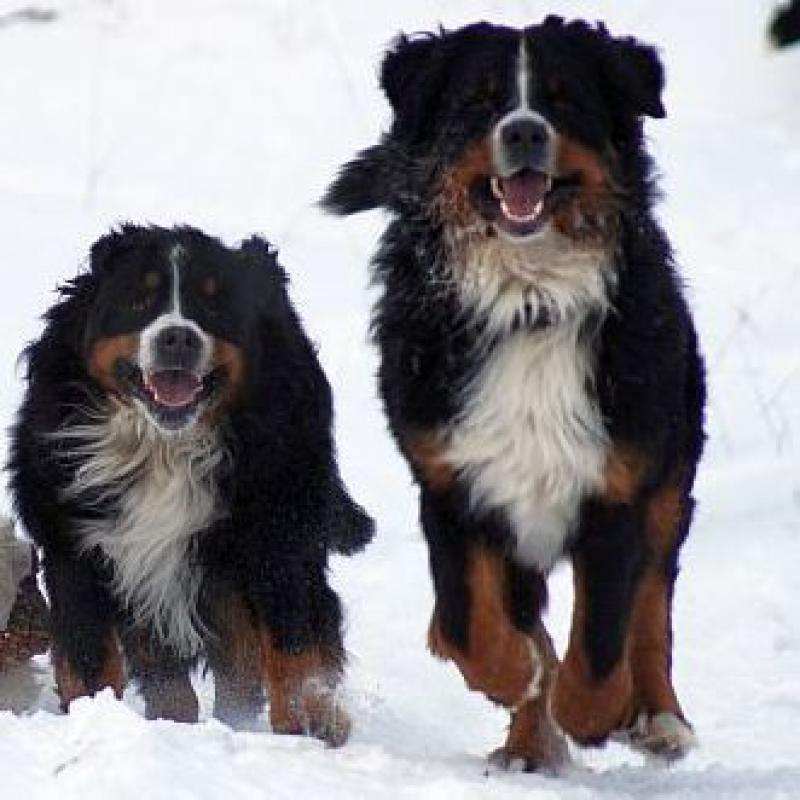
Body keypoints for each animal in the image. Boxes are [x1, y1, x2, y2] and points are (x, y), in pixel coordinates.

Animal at [7, 223, 376, 744]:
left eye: (213, 304)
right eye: (139, 300)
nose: (177, 337)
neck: (163, 450)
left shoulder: (275, 537)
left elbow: (292, 645)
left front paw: (309, 722)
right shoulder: (75, 549)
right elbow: (91, 657)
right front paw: (100, 715)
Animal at [324, 17, 708, 768]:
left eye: (563, 100)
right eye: (480, 100)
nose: (525, 131)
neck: (529, 300)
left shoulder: (617, 485)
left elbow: (602, 638)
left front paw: (596, 713)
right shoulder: (453, 480)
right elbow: (471, 624)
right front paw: (512, 679)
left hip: (671, 472)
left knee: (653, 604)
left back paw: (656, 717)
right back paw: (530, 743)